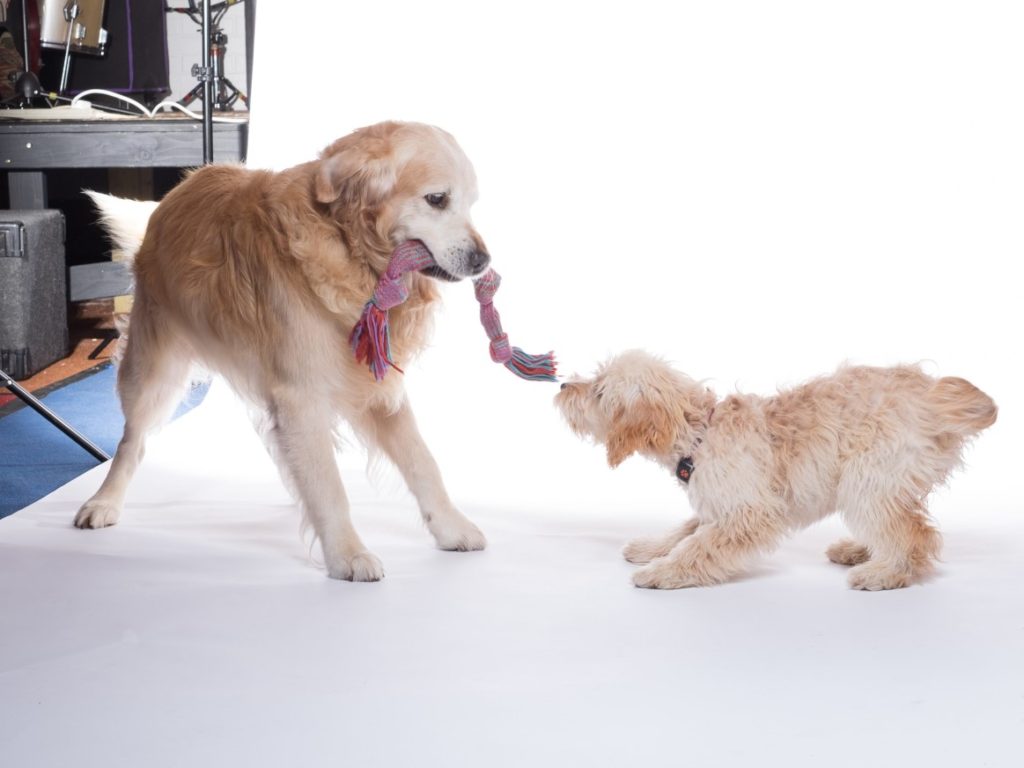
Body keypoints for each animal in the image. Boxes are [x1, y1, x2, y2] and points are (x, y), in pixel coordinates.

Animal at [557, 352, 995, 593]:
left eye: (598, 390)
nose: (562, 386)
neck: (700, 431)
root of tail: (932, 394)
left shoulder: (749, 511)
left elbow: (699, 546)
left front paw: (663, 571)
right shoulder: (718, 503)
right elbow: (685, 530)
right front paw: (651, 548)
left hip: (869, 474)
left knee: (913, 534)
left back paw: (887, 572)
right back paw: (860, 550)